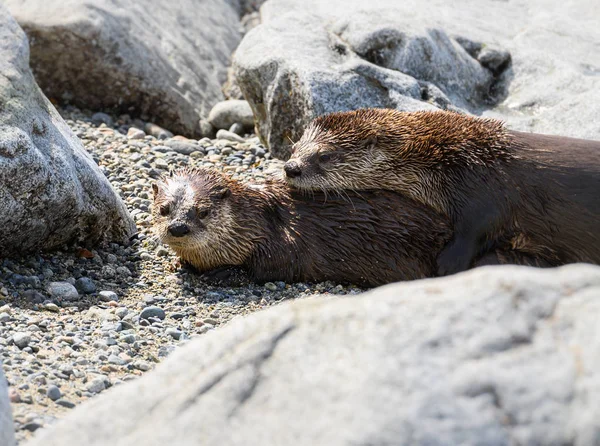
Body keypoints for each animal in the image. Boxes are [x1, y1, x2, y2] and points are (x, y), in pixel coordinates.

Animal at [151, 166, 548, 286]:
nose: (179, 228)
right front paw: (181, 263)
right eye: (164, 209)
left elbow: (273, 266)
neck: (257, 221)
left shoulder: (284, 239)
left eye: (203, 211)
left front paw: (226, 274)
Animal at [284, 108, 600, 276]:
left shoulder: (485, 190)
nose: (291, 168)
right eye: (294, 147)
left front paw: (449, 264)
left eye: (325, 155)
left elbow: (479, 227)